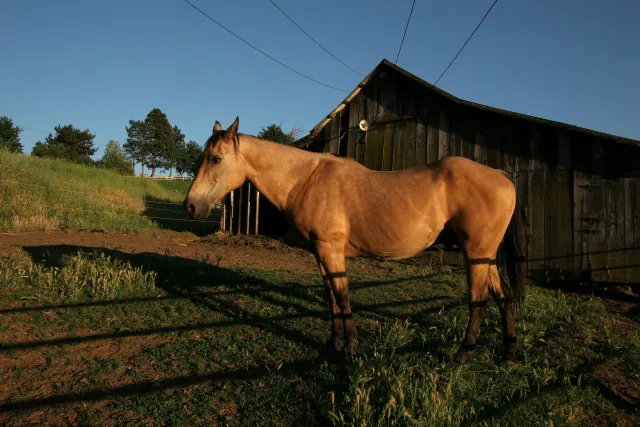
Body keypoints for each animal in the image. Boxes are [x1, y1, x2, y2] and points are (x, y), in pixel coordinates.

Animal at [184, 117, 527, 363]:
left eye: (215, 159)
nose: (190, 206)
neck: (307, 180)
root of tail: (502, 176)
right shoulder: (321, 253)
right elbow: (331, 299)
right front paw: (332, 344)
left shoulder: (331, 251)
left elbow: (343, 296)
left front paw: (350, 348)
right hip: (485, 255)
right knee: (503, 298)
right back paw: (508, 354)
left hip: (476, 254)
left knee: (479, 300)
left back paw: (464, 354)